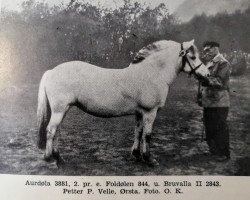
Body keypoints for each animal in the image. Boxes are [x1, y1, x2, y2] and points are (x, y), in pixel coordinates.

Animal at [36, 39, 209, 164]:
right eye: (193, 57)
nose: (207, 75)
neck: (152, 74)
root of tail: (51, 71)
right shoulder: (150, 112)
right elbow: (147, 135)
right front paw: (149, 158)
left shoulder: (140, 113)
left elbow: (138, 132)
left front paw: (136, 154)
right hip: (59, 110)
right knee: (51, 130)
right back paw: (49, 157)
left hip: (63, 110)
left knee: (57, 131)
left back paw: (59, 157)